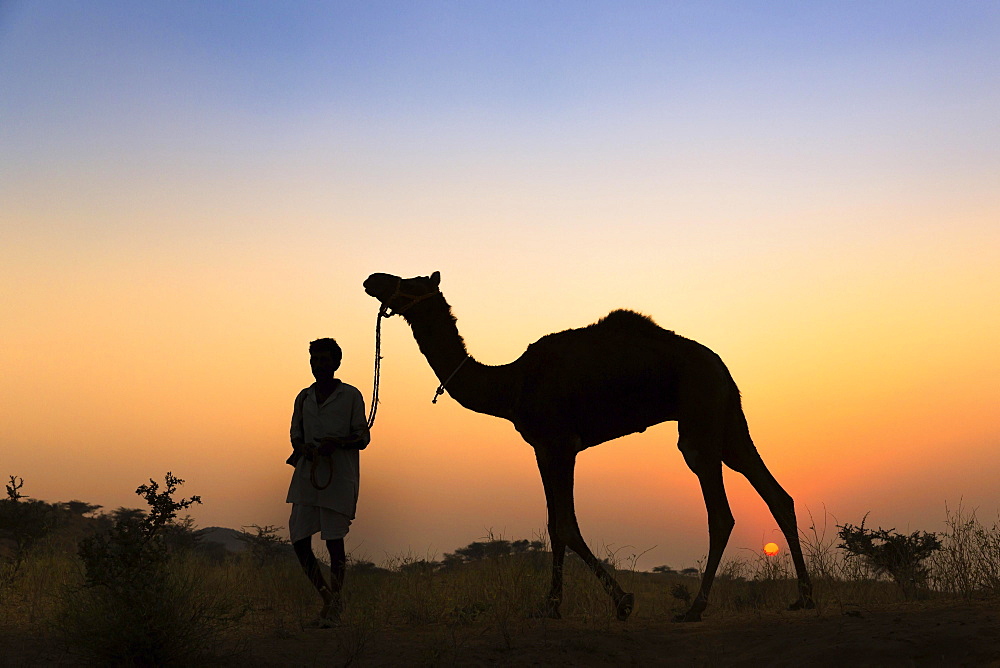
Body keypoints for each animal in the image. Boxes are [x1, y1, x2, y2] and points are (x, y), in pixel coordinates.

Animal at [362, 272, 812, 620]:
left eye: (409, 282)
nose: (372, 279)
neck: (510, 384)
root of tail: (723, 368)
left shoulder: (559, 443)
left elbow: (565, 524)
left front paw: (619, 601)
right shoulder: (543, 448)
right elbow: (554, 526)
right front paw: (555, 605)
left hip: (699, 419)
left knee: (720, 511)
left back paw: (695, 608)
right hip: (729, 423)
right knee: (777, 494)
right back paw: (803, 598)